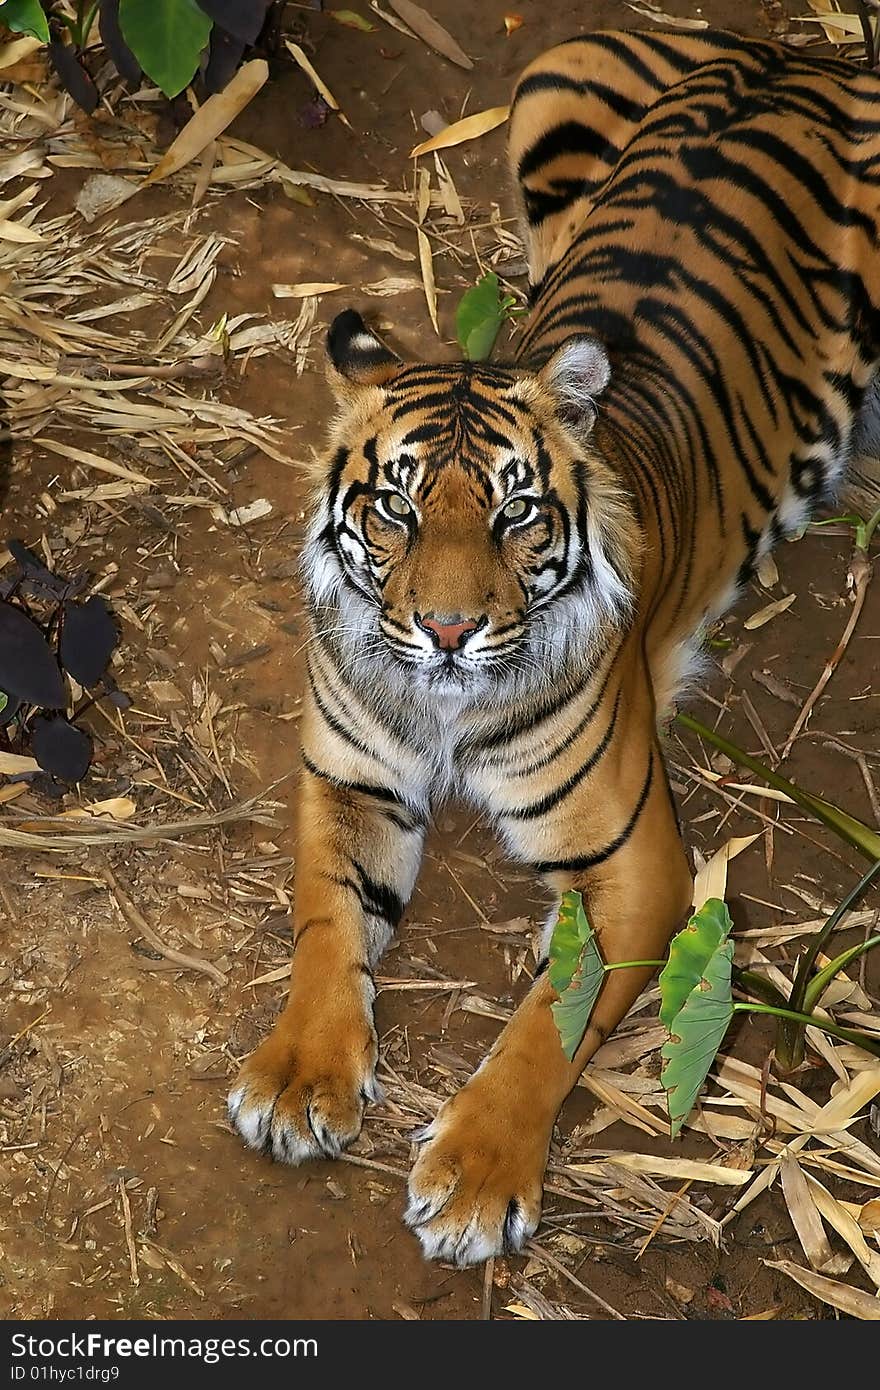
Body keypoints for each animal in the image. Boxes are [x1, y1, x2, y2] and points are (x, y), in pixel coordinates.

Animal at [226, 27, 878, 1267]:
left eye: (515, 512)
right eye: (396, 508)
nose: (444, 628)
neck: (443, 705)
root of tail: (793, 50)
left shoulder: (640, 868)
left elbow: (550, 1022)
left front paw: (476, 1179)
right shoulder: (348, 781)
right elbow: (326, 926)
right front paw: (295, 1077)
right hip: (548, 88)